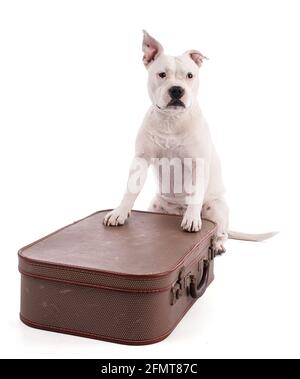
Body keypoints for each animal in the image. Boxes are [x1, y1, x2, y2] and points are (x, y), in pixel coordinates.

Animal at [103, 30, 276, 255]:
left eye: (190, 76)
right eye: (162, 75)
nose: (177, 90)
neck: (171, 120)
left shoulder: (197, 163)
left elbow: (195, 193)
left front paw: (192, 219)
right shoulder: (141, 159)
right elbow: (131, 189)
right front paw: (120, 212)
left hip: (217, 207)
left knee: (221, 231)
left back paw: (217, 243)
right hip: (156, 206)